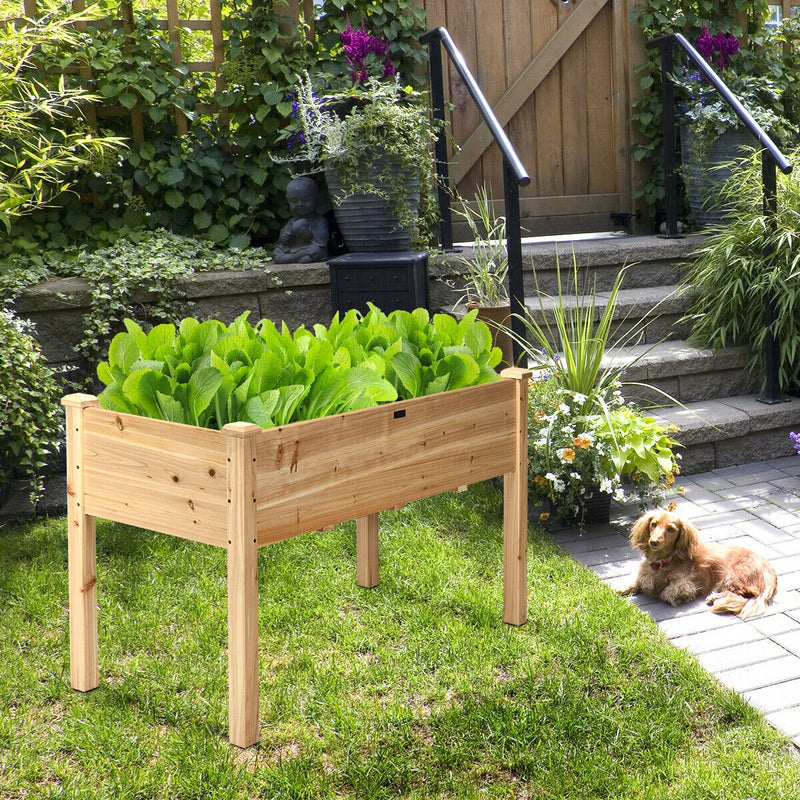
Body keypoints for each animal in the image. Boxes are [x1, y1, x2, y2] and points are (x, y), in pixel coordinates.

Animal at [620, 506, 776, 620]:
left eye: (670, 529)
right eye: (653, 524)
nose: (653, 542)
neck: (662, 562)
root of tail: (769, 568)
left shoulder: (686, 584)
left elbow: (667, 592)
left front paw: (670, 595)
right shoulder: (643, 573)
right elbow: (635, 581)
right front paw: (620, 589)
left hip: (733, 577)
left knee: (747, 596)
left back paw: (715, 597)